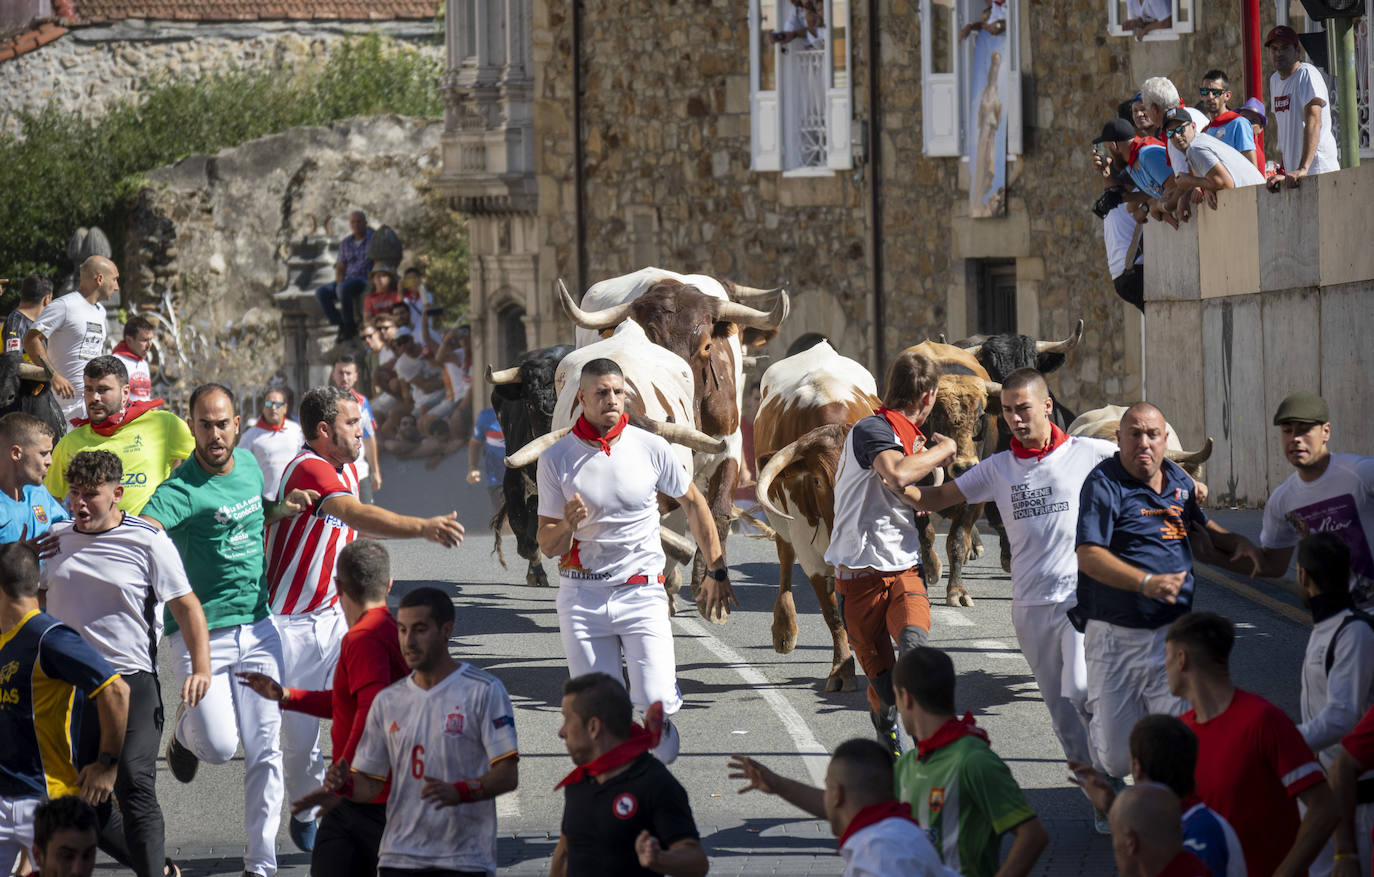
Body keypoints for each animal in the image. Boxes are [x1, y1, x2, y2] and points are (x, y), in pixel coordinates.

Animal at [747, 343, 873, 692]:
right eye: (817, 481)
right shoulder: (809, 547)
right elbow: (832, 612)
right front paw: (842, 669)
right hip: (783, 526)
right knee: (785, 559)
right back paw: (784, 630)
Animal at [901, 340, 1000, 607]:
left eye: (980, 415)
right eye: (936, 414)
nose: (964, 467)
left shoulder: (974, 499)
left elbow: (956, 541)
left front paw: (957, 591)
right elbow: (925, 534)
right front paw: (932, 569)